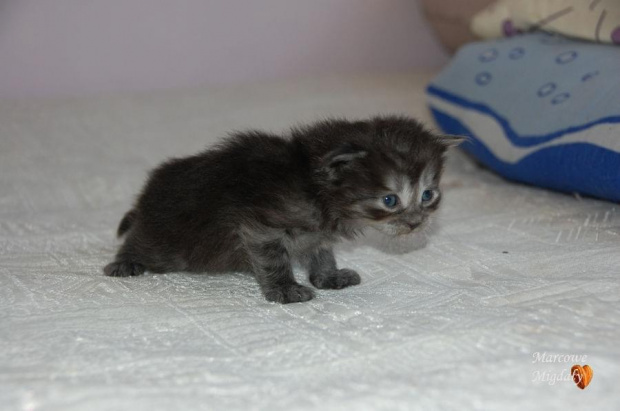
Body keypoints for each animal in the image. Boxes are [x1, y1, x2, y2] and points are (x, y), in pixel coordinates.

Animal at [104, 116, 462, 302]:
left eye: (428, 195)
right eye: (390, 200)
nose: (416, 224)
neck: (314, 188)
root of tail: (146, 196)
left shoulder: (317, 235)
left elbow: (321, 254)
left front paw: (329, 278)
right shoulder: (260, 227)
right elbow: (273, 260)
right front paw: (286, 289)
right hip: (168, 244)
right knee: (138, 240)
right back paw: (124, 262)